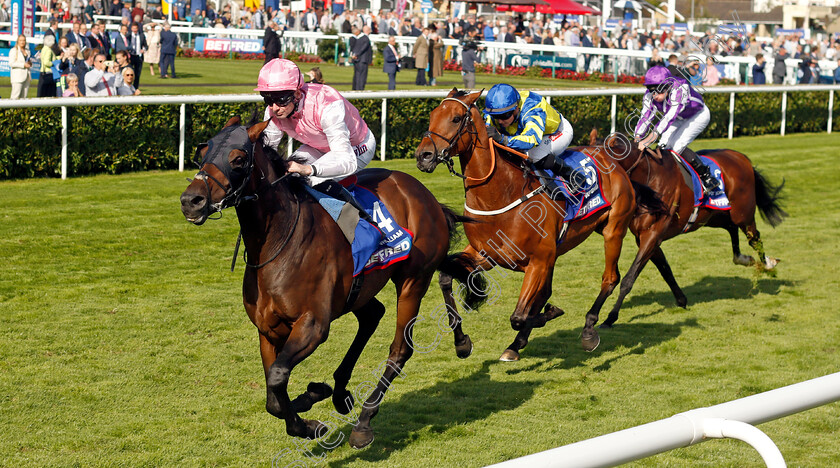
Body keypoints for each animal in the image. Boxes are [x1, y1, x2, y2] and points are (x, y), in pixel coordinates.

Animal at [177, 117, 480, 450]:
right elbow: (273, 396)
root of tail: (425, 195)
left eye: (238, 159)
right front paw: (311, 399)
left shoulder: (313, 325)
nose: (191, 201)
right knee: (373, 315)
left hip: (413, 280)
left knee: (400, 348)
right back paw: (338, 391)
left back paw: (364, 422)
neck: (277, 243)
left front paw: (311, 425)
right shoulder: (268, 329)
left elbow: (278, 376)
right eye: (202, 153)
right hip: (360, 289)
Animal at [416, 89, 644, 356]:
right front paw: (462, 343)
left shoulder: (538, 261)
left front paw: (551, 313)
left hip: (613, 230)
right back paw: (517, 343)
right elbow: (445, 278)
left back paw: (588, 330)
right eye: (432, 115)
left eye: (456, 118)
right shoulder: (487, 254)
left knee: (610, 279)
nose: (423, 156)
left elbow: (518, 316)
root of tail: (613, 161)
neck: (501, 194)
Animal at [584, 130, 788, 328]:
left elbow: (629, 279)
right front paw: (681, 300)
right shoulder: (645, 237)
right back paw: (742, 258)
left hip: (742, 214)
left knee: (754, 238)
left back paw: (768, 264)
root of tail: (742, 157)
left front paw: (610, 318)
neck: (650, 176)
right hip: (714, 215)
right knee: (731, 228)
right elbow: (665, 268)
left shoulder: (652, 235)